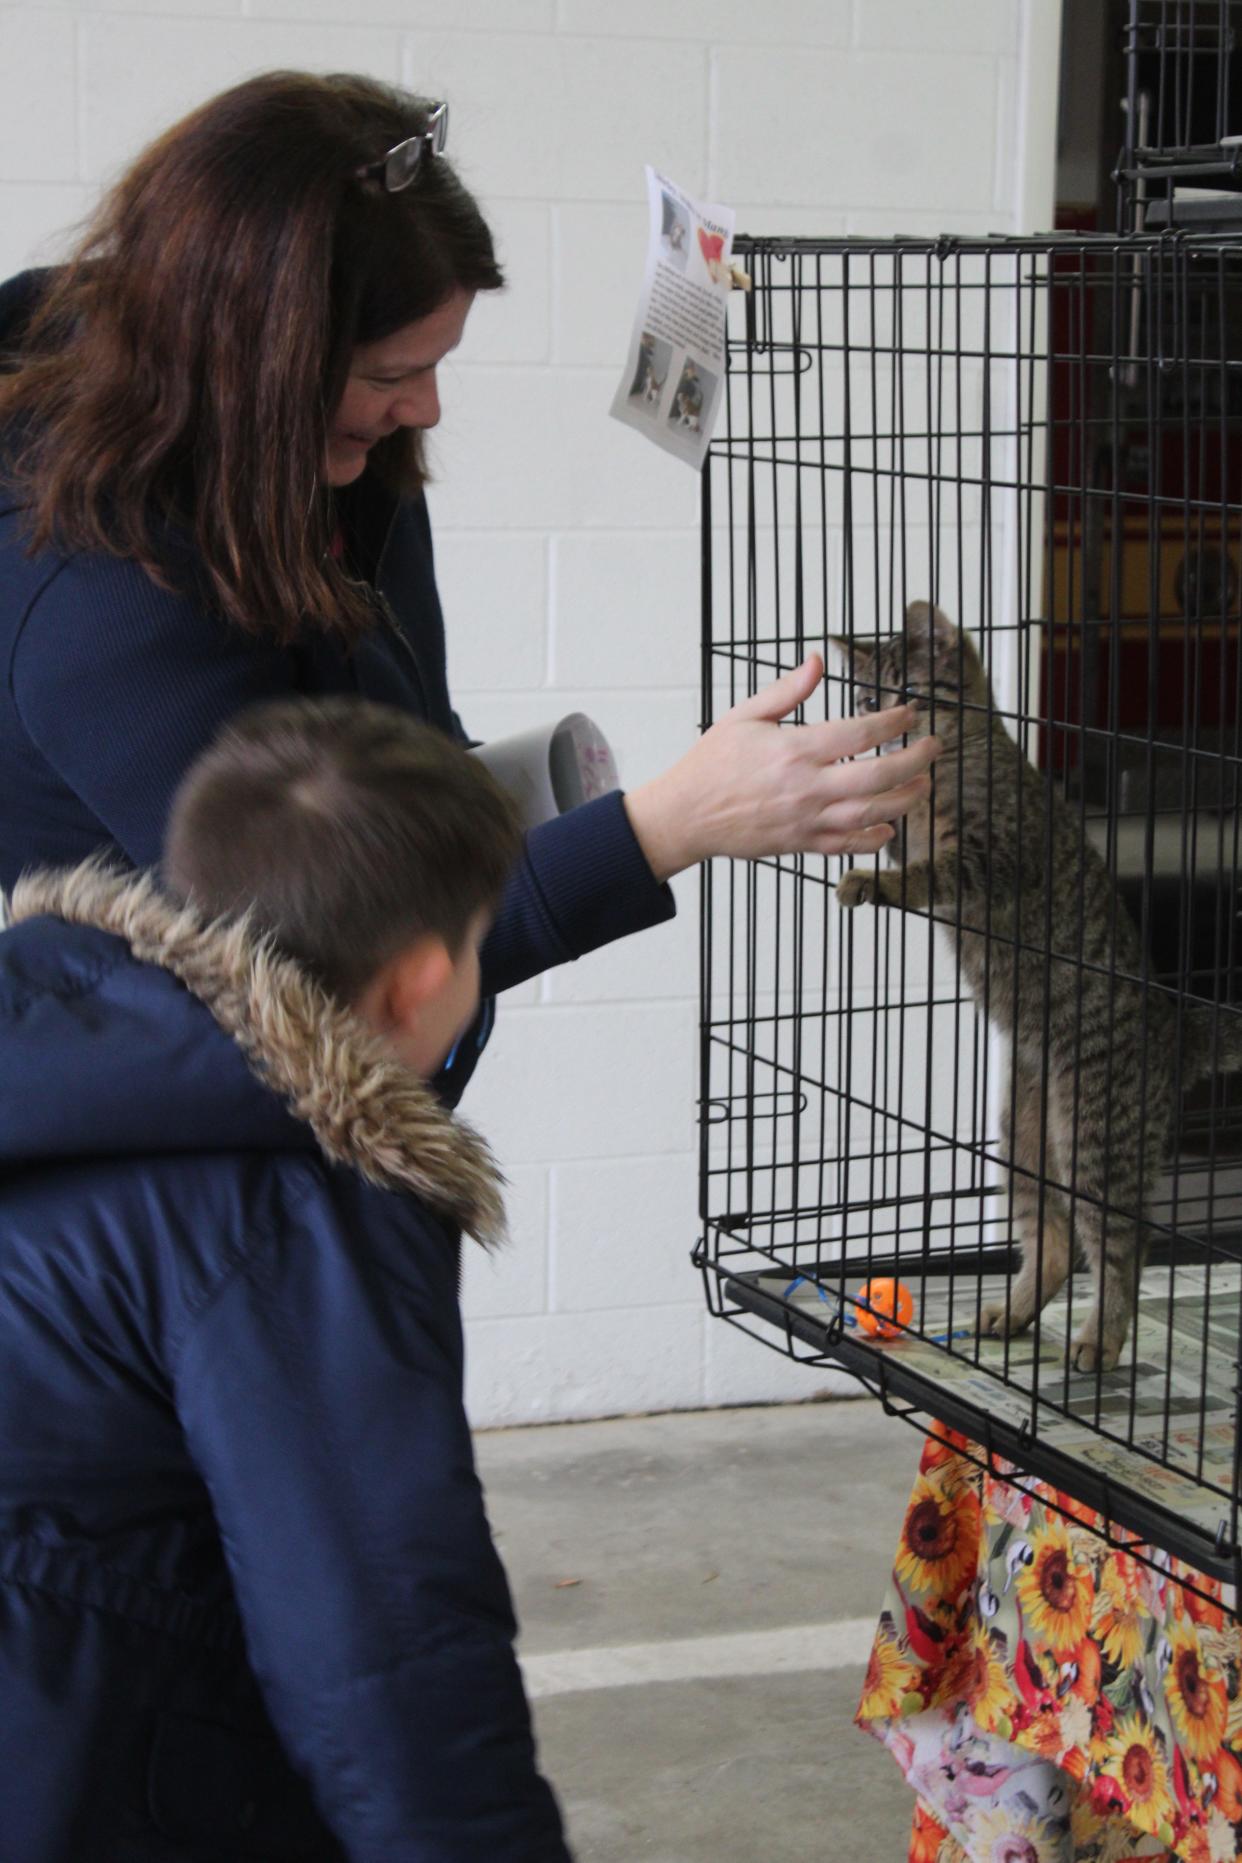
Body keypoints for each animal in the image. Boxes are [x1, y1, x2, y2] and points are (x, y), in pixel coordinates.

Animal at [834, 603, 1176, 1378]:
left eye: (912, 692)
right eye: (868, 701)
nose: (885, 729)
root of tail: (1179, 1029)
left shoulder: (995, 852)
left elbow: (929, 872)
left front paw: (879, 880)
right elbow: (895, 829)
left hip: (1095, 1132)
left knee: (1117, 1246)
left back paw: (1100, 1338)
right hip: (1021, 1131)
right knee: (1050, 1237)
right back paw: (1014, 1311)